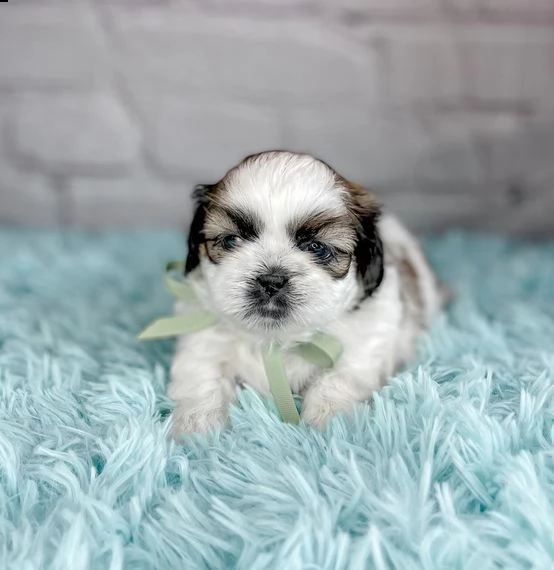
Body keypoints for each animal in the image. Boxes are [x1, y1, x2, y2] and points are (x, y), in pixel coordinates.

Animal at [166, 149, 442, 432]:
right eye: (231, 241)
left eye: (317, 248)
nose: (271, 280)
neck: (275, 340)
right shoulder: (202, 340)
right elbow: (202, 376)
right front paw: (197, 426)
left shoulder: (364, 347)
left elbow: (338, 379)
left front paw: (328, 422)